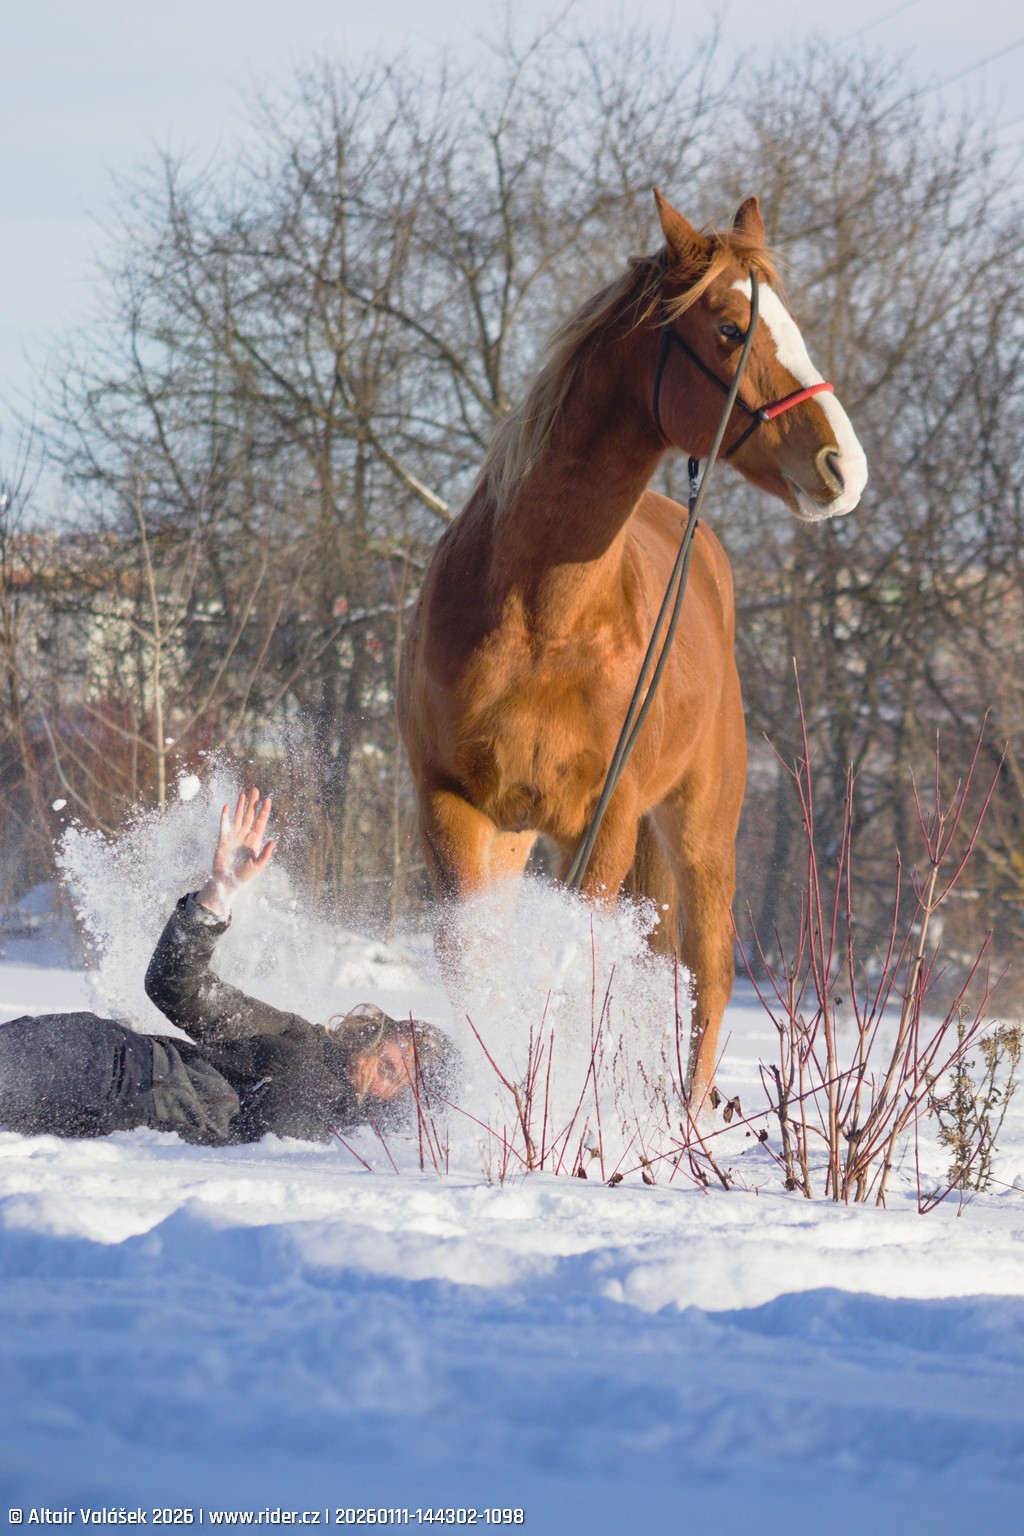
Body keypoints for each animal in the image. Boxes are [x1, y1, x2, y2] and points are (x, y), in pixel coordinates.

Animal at [397, 190, 867, 1108]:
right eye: (730, 328)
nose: (844, 467)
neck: (543, 617)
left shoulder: (606, 822)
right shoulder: (452, 805)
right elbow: (477, 969)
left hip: (701, 826)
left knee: (706, 975)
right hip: (527, 831)